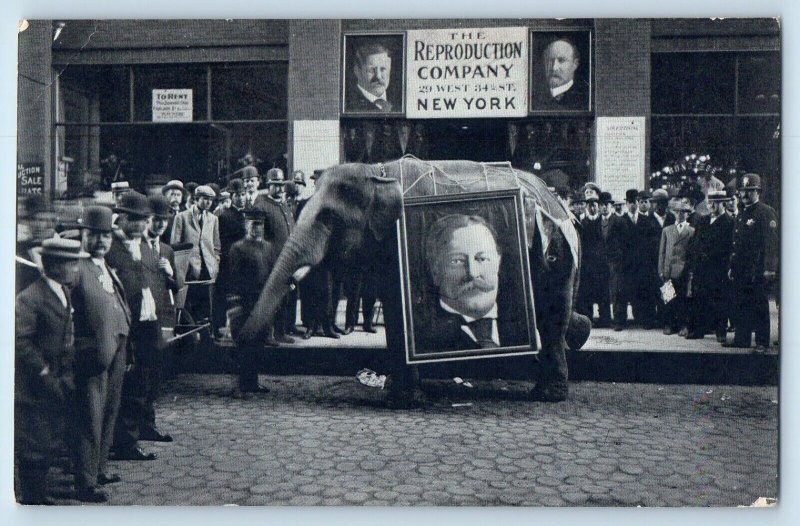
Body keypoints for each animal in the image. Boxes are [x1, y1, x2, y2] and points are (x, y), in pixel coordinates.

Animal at [239, 157, 591, 406]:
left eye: (328, 217)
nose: (254, 387)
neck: (377, 172)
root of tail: (564, 209)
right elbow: (395, 312)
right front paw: (400, 395)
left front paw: (405, 399)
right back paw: (579, 334)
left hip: (555, 250)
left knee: (552, 316)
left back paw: (548, 393)